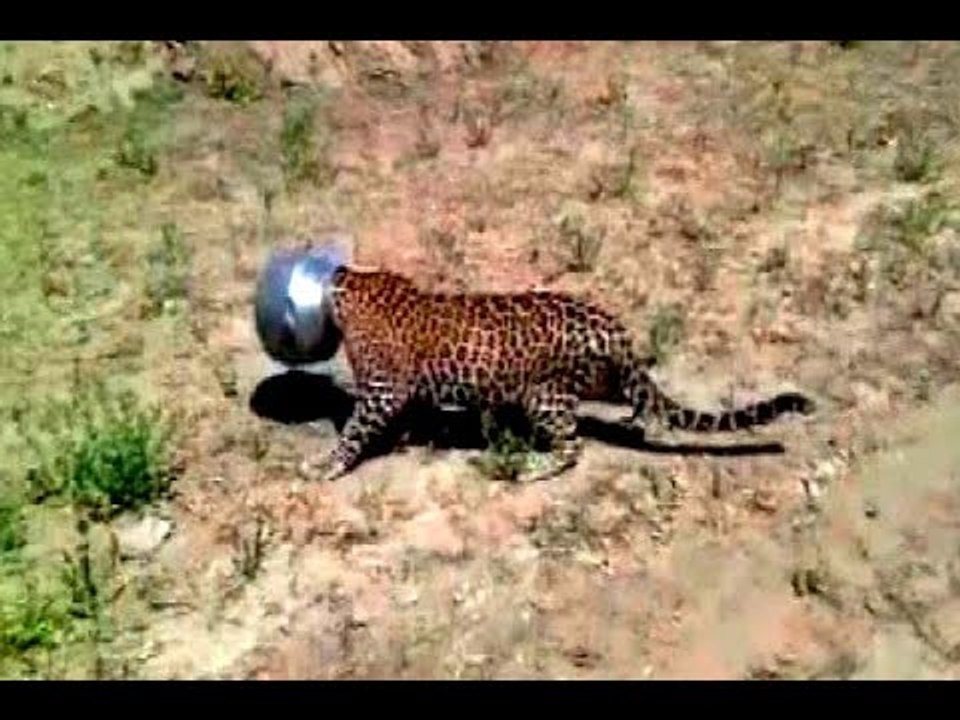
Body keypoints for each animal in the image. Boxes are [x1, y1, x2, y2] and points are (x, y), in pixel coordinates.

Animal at [284, 264, 815, 483]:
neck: (349, 285)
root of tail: (611, 328)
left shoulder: (381, 390)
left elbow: (353, 432)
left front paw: (325, 465)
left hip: (545, 397)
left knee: (573, 446)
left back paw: (531, 466)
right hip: (599, 382)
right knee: (638, 398)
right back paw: (635, 419)